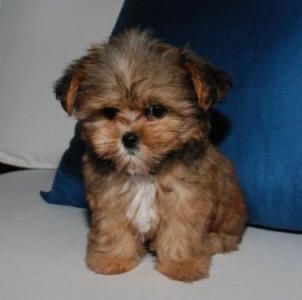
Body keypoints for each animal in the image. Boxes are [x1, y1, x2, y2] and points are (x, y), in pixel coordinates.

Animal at [54, 29, 248, 282]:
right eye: (110, 112)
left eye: (157, 110)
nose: (128, 138)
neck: (145, 172)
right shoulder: (109, 198)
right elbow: (113, 228)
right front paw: (113, 259)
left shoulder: (186, 200)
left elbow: (181, 232)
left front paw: (181, 265)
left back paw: (214, 241)